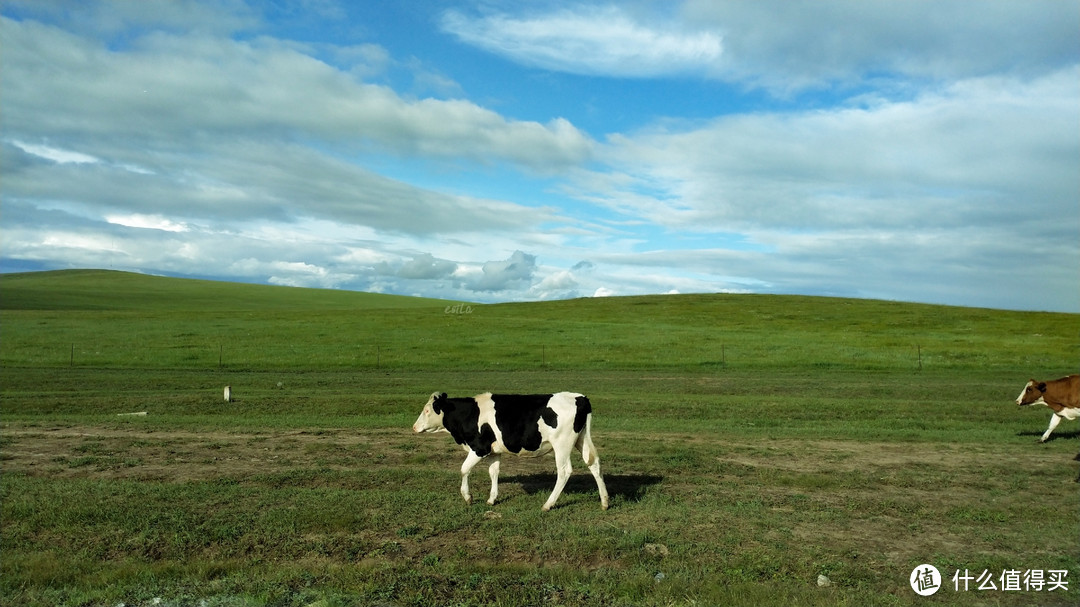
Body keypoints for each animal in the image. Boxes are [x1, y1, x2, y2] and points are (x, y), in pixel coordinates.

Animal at [410, 388, 609, 507]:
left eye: (427, 410)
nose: (414, 427)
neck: (469, 413)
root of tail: (579, 397)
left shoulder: (479, 448)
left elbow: (464, 469)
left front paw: (468, 497)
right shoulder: (494, 451)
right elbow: (493, 472)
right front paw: (492, 499)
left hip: (562, 444)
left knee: (564, 471)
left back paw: (548, 504)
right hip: (581, 439)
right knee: (594, 464)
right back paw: (605, 502)